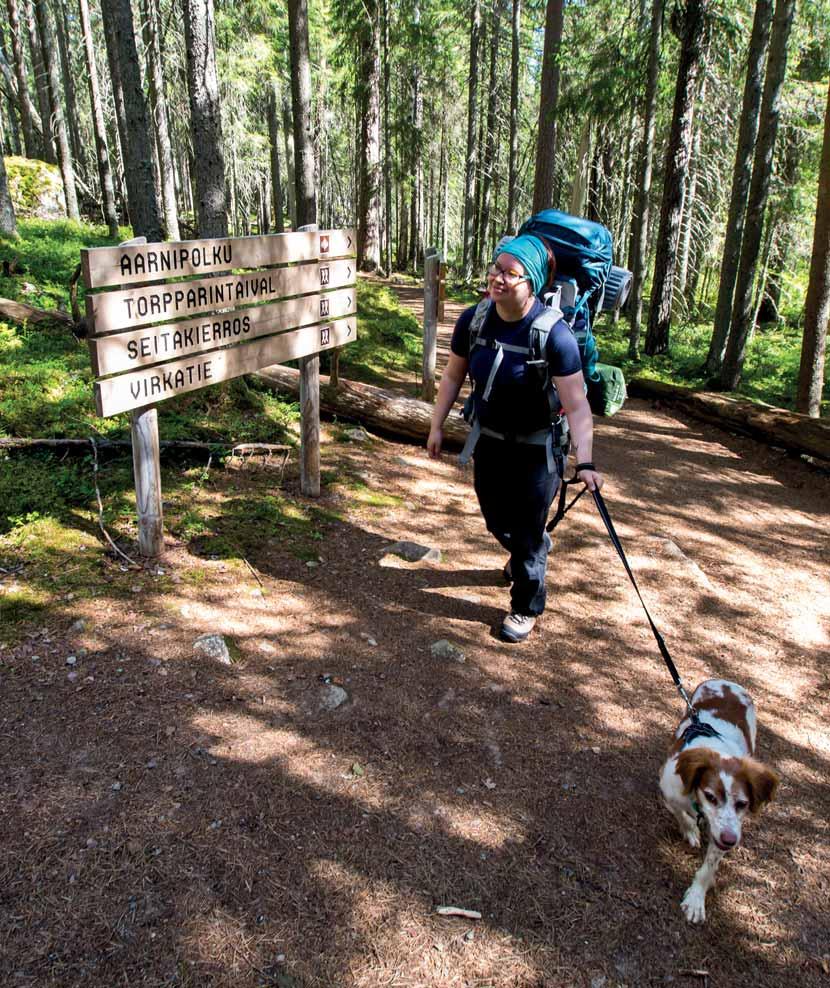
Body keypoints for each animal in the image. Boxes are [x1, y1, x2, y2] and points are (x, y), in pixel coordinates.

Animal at [664, 676, 780, 924]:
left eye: (742, 804)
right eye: (710, 796)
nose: (730, 840)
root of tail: (727, 682)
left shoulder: (726, 830)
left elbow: (708, 867)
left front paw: (696, 899)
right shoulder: (668, 788)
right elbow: (679, 811)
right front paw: (690, 829)